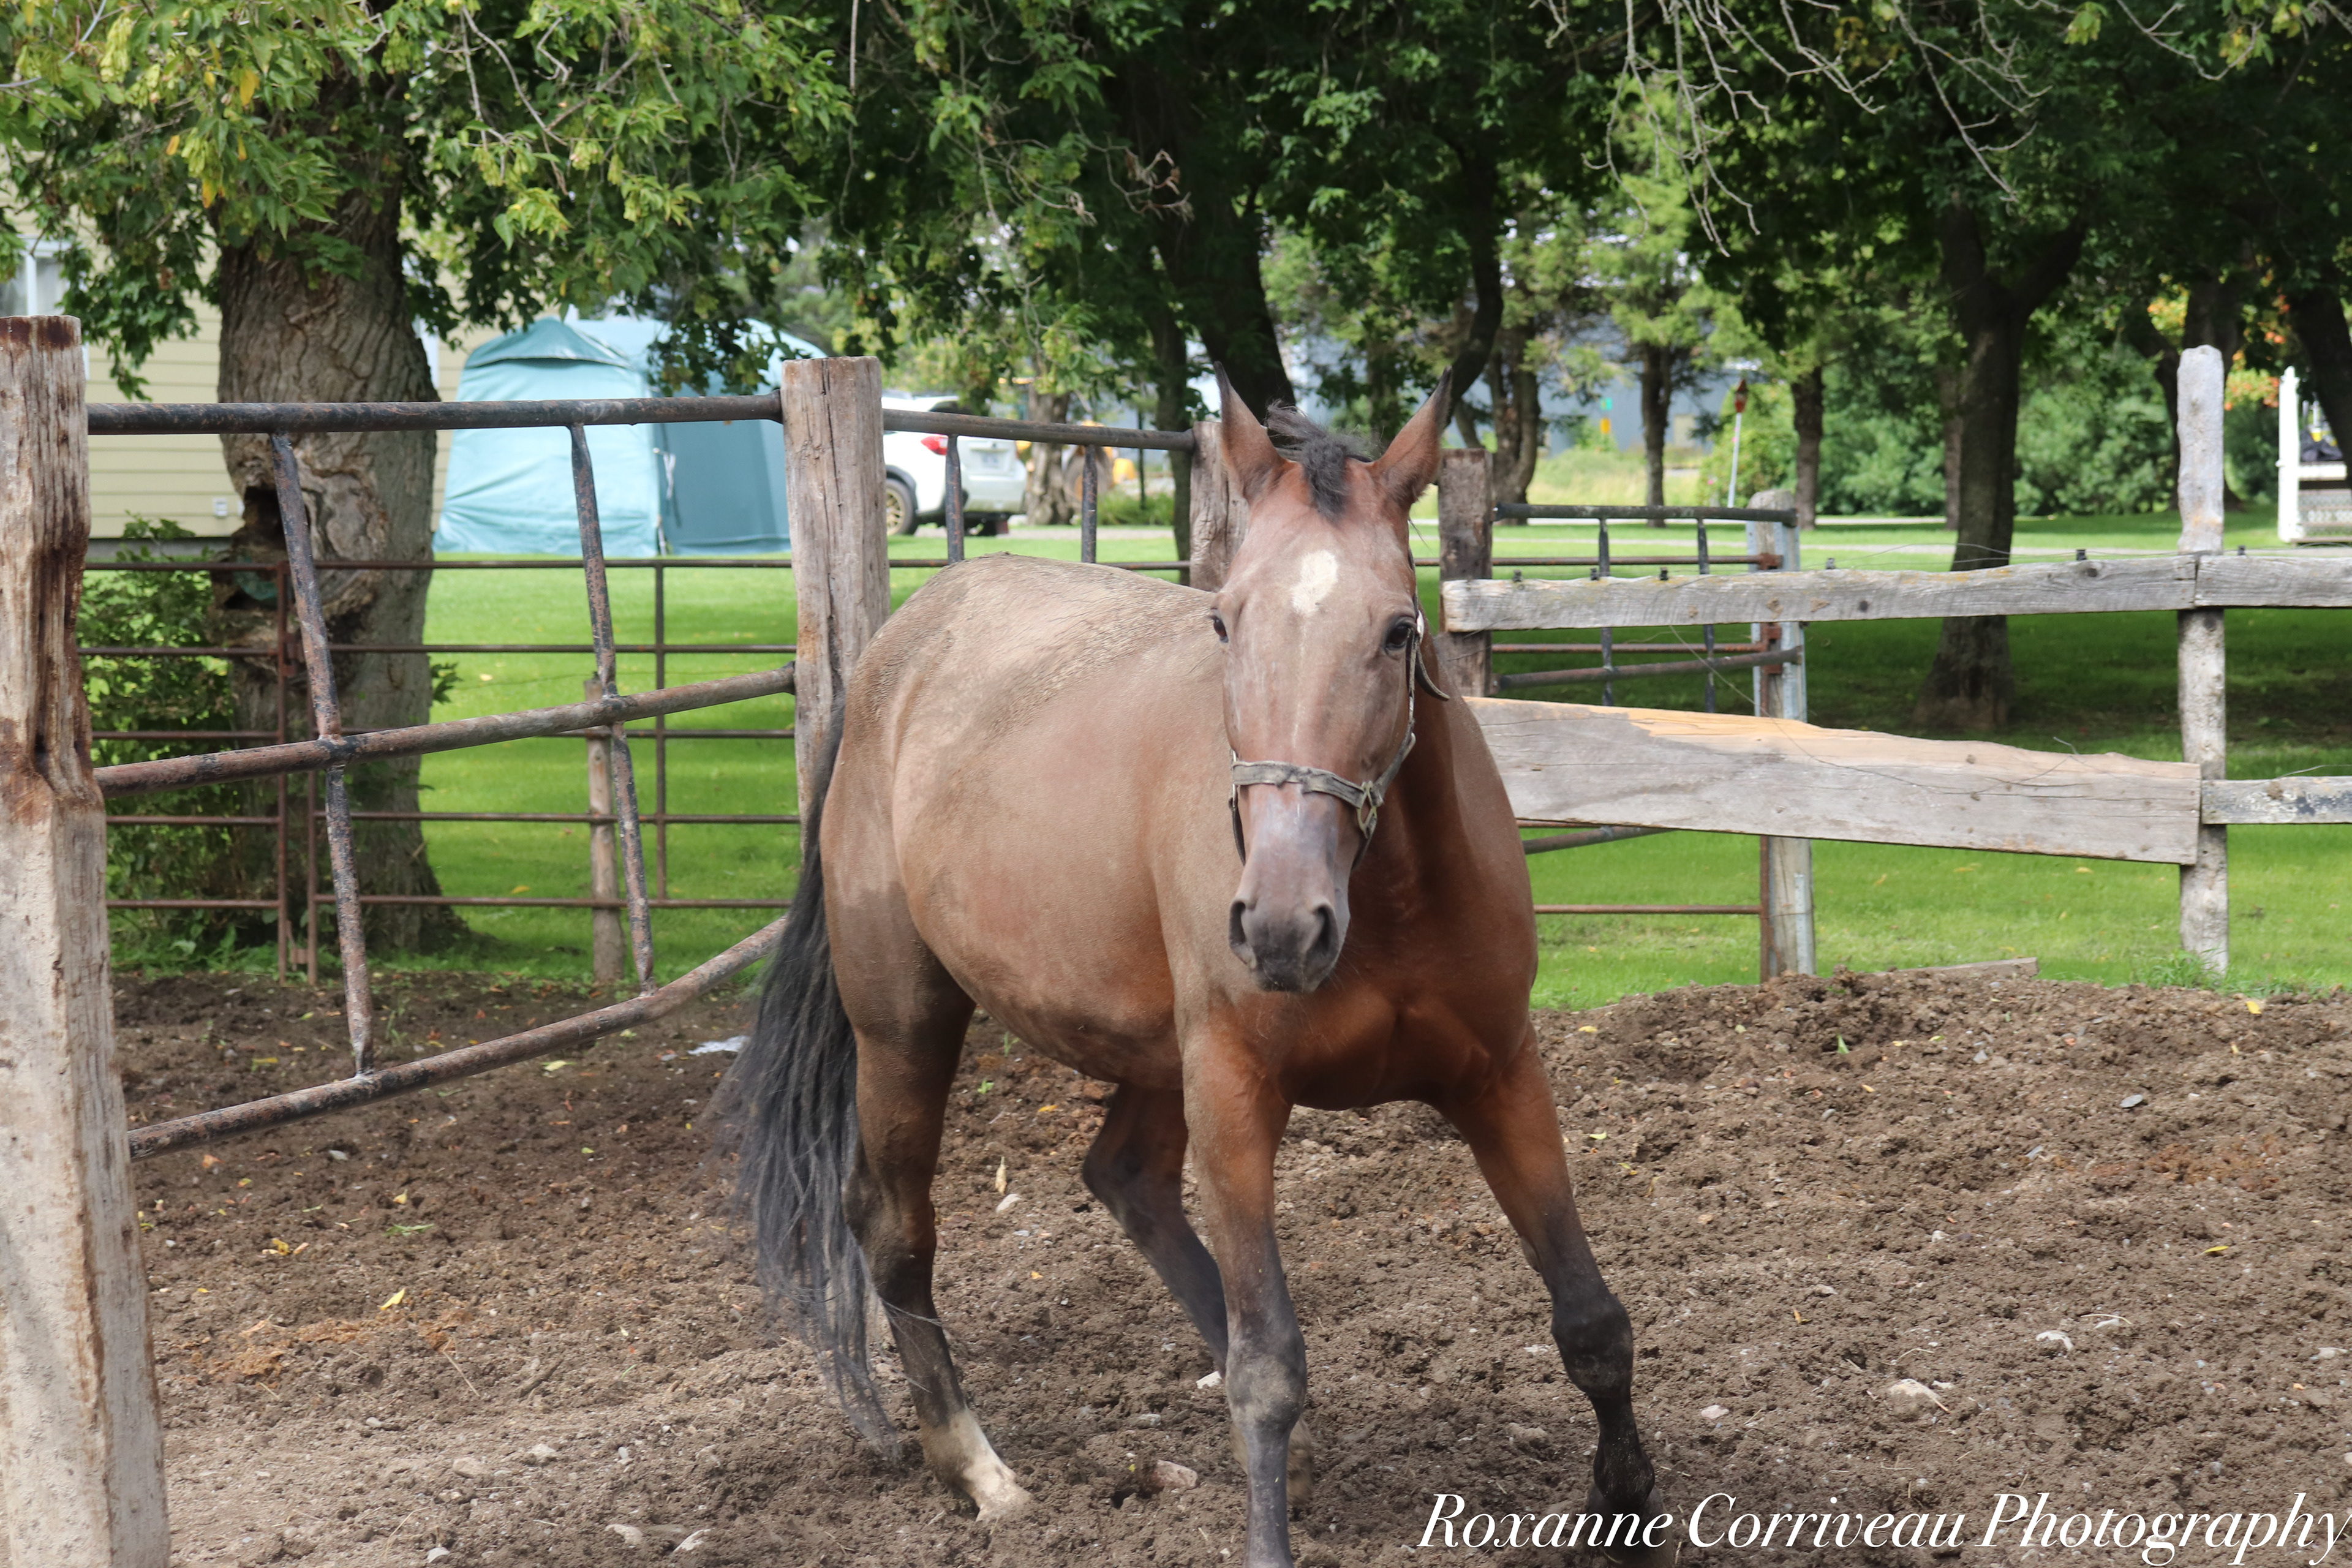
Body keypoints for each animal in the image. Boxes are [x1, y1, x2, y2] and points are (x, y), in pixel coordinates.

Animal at [726, 374, 1661, 1567]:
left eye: (1400, 631)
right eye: (1226, 622)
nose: (1282, 927)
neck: (1386, 900)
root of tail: (905, 643)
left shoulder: (1501, 1076)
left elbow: (1591, 1319)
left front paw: (1626, 1501)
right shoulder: (1237, 1096)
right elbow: (1268, 1372)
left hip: (1151, 1056)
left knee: (1122, 1179)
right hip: (908, 1028)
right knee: (894, 1226)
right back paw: (978, 1470)